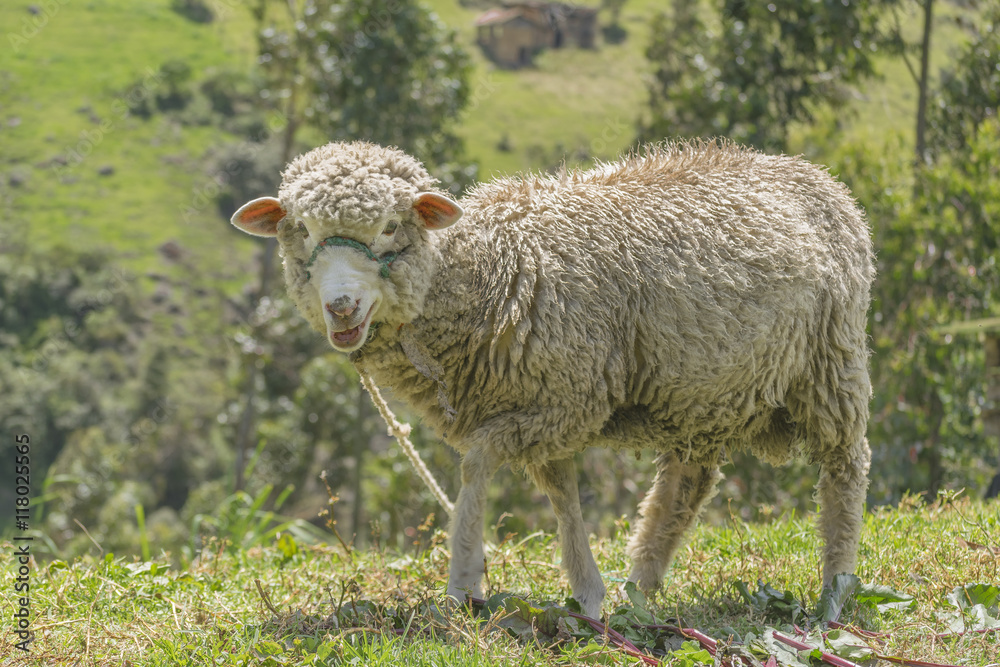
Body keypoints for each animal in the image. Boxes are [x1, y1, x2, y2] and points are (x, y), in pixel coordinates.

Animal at [231, 140, 874, 619]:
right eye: (302, 230)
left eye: (391, 226)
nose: (341, 306)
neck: (485, 275)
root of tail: (814, 175)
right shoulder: (546, 405)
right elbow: (563, 496)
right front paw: (588, 594)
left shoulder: (569, 399)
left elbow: (477, 465)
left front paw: (465, 581)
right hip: (701, 390)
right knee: (687, 484)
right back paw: (641, 588)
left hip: (830, 359)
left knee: (846, 465)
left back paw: (835, 590)